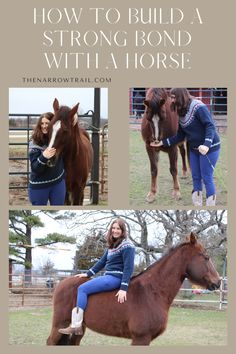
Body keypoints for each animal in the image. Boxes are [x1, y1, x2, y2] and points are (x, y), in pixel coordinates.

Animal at [47, 232, 220, 346]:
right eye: (206, 257)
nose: (218, 282)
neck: (152, 292)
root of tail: (62, 283)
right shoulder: (140, 338)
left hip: (79, 330)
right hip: (59, 325)